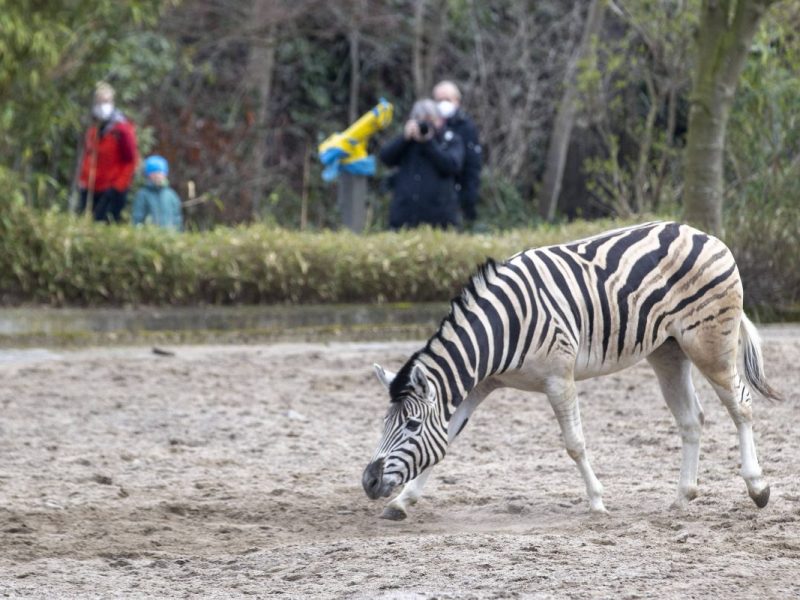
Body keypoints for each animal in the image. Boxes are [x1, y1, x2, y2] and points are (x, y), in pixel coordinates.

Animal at [362, 221, 781, 520]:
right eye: (384, 423)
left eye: (411, 425)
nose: (368, 481)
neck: (500, 332)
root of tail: (704, 234)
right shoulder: (480, 386)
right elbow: (445, 440)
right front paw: (403, 501)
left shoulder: (558, 379)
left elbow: (574, 443)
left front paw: (596, 501)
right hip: (668, 351)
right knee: (692, 419)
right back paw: (682, 497)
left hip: (709, 344)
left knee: (741, 405)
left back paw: (757, 487)